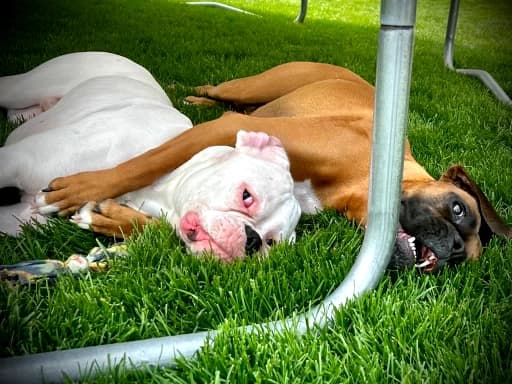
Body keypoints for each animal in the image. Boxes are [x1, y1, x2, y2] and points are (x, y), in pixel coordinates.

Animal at [38, 63, 510, 272]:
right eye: (458, 209)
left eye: (466, 259)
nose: (454, 250)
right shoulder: (227, 130)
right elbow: (141, 165)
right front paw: (80, 190)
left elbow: (174, 226)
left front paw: (110, 217)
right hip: (253, 88)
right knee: (221, 91)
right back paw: (188, 89)